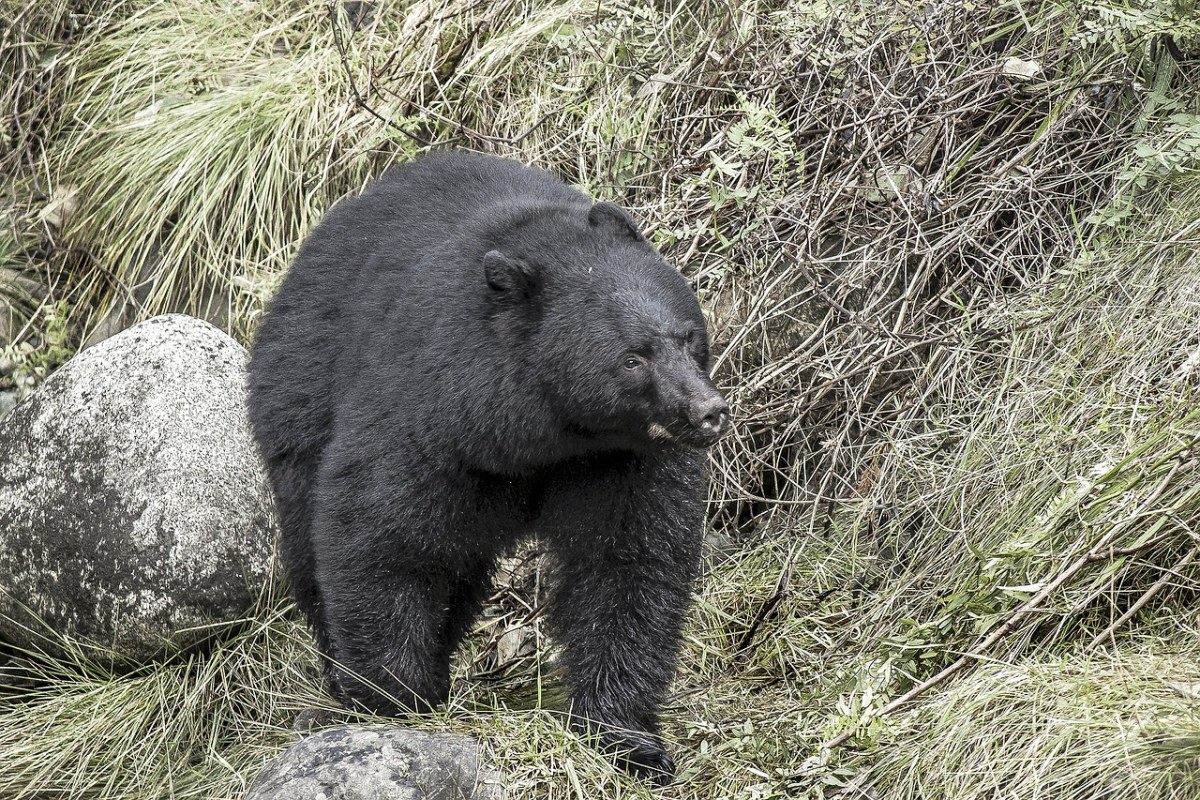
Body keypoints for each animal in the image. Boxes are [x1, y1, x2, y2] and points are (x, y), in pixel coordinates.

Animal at [248, 153, 724, 786]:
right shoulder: (429, 413)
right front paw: (395, 696)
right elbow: (381, 533)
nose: (707, 411)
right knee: (315, 539)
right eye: (632, 358)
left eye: (688, 337)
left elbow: (628, 562)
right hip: (299, 399)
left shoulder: (622, 460)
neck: (544, 434)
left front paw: (627, 738)